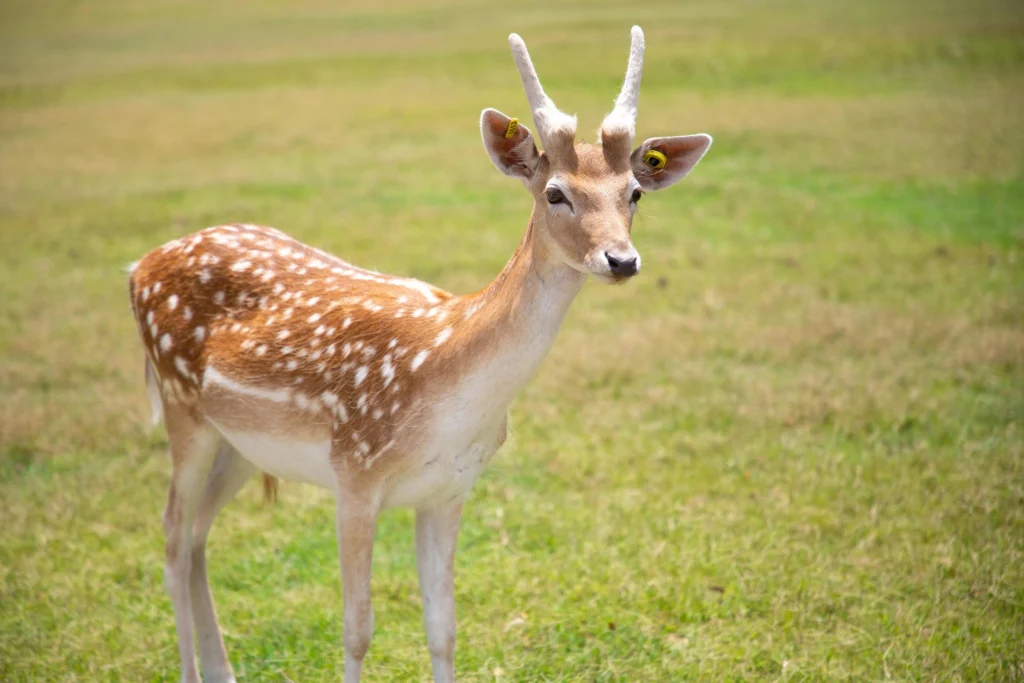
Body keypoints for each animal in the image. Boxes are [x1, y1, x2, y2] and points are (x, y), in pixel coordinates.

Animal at [128, 26, 712, 683]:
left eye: (634, 192)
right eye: (555, 193)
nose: (621, 259)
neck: (448, 389)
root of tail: (137, 266)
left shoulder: (449, 490)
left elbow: (444, 629)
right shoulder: (354, 475)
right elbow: (357, 631)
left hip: (239, 445)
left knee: (199, 534)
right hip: (182, 410)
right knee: (172, 536)